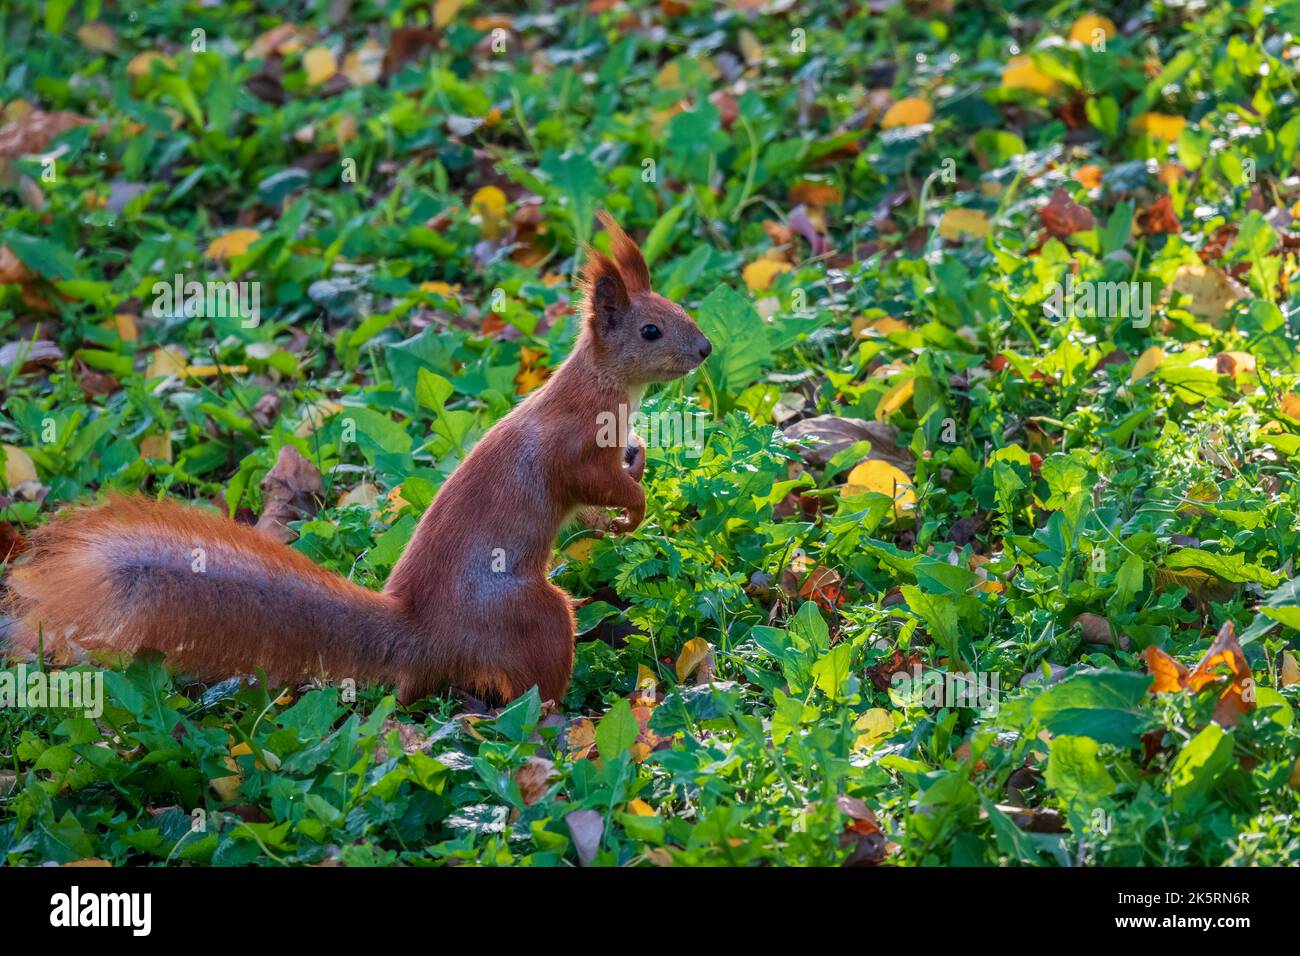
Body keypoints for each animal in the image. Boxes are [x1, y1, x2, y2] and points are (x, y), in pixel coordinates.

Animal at [3, 211, 713, 706]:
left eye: (681, 307)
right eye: (650, 330)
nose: (704, 350)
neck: (602, 386)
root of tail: (423, 637)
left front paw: (635, 473)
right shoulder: (571, 444)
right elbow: (589, 480)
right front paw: (635, 503)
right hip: (529, 614)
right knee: (533, 687)